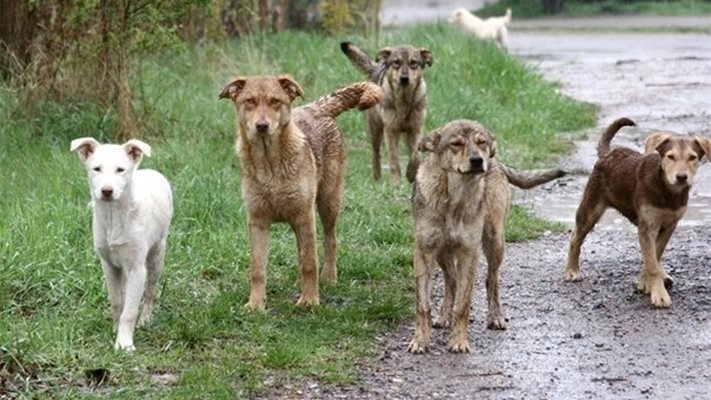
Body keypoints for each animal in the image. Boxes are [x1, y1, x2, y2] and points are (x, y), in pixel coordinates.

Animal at [70, 137, 174, 350]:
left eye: (120, 170)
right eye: (96, 169)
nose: (107, 191)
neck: (114, 216)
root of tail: (153, 172)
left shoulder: (137, 268)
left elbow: (130, 310)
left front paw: (124, 343)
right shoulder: (109, 264)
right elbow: (117, 301)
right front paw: (116, 330)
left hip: (157, 254)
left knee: (150, 291)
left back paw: (145, 320)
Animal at [221, 76, 384, 312]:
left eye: (275, 101)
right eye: (249, 101)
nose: (262, 126)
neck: (269, 165)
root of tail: (316, 107)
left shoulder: (305, 217)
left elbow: (310, 263)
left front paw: (309, 301)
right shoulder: (257, 221)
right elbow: (258, 268)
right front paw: (255, 304)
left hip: (328, 202)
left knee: (330, 240)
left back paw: (329, 278)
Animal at [340, 41, 434, 185]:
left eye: (413, 63)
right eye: (396, 62)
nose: (404, 78)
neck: (403, 101)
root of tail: (379, 67)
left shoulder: (416, 128)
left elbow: (416, 155)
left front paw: (411, 174)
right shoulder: (391, 130)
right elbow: (394, 160)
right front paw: (396, 183)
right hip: (375, 130)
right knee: (376, 154)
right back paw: (377, 179)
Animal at [406, 119, 568, 354]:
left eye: (481, 142)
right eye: (456, 144)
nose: (478, 160)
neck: (454, 198)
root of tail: (496, 162)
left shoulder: (469, 252)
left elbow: (463, 305)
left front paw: (459, 341)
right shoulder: (424, 251)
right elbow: (423, 305)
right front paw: (420, 340)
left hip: (495, 242)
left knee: (491, 280)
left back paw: (496, 317)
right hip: (443, 253)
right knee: (451, 281)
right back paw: (444, 316)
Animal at [564, 117, 708, 308]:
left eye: (693, 158)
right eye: (670, 157)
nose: (681, 177)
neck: (667, 190)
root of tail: (607, 154)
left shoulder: (669, 226)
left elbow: (655, 256)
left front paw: (647, 283)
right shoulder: (647, 227)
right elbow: (652, 262)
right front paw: (659, 294)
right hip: (591, 208)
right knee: (575, 238)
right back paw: (572, 270)